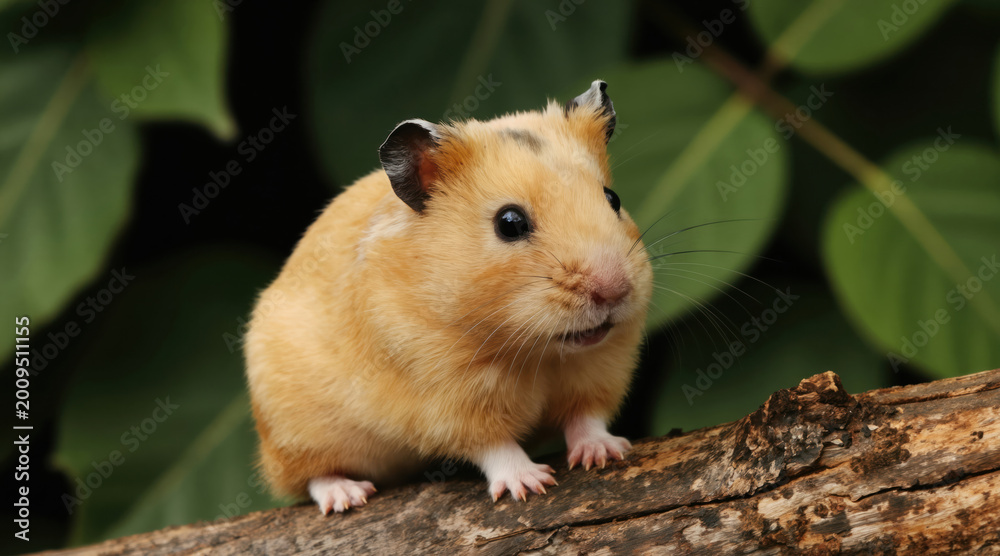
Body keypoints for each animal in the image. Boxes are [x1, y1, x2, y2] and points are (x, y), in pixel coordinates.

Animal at [244, 80, 653, 514]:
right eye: (509, 223)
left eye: (612, 198)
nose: (614, 289)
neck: (536, 352)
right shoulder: (450, 398)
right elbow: (494, 445)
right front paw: (531, 484)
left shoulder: (600, 369)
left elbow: (586, 418)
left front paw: (607, 453)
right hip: (296, 431)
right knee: (312, 477)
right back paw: (348, 496)